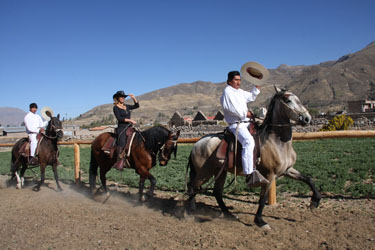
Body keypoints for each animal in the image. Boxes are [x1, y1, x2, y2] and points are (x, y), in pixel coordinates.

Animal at [185, 87, 320, 229]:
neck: (276, 141)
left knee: (216, 192)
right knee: (192, 186)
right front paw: (260, 221)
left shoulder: (287, 170)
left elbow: (308, 179)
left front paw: (315, 202)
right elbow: (262, 199)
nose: (307, 118)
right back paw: (189, 212)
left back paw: (228, 214)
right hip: (205, 173)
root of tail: (197, 144)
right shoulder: (269, 175)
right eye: (287, 100)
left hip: (219, 172)